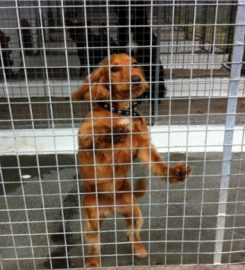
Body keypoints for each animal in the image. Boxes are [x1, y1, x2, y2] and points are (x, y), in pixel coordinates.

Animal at [72, 53, 191, 266]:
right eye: (114, 68)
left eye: (135, 64)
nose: (136, 79)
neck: (122, 110)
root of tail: (112, 208)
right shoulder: (84, 142)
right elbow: (97, 134)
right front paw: (116, 130)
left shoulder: (143, 146)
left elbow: (158, 164)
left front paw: (175, 173)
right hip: (92, 221)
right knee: (94, 245)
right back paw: (93, 262)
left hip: (134, 213)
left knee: (132, 233)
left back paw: (139, 248)